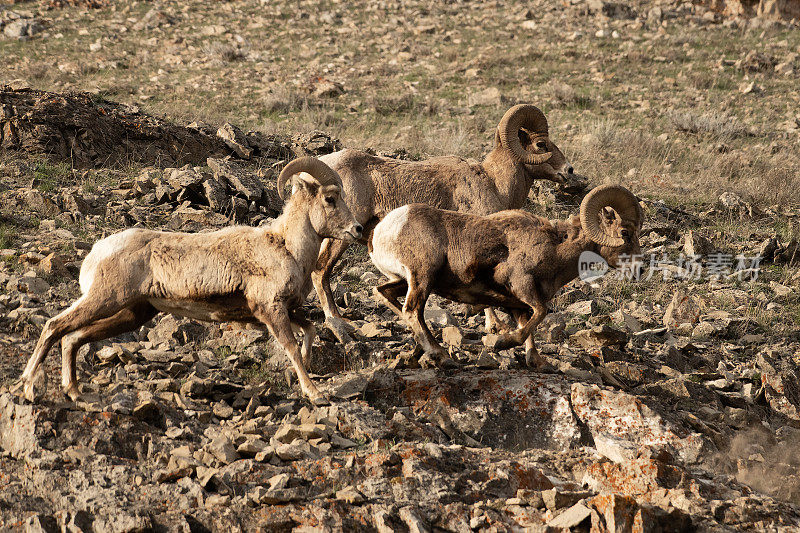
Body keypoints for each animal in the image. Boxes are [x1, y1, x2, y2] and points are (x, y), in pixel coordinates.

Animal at [16, 157, 362, 404]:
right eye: (331, 199)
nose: (358, 229)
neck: (286, 247)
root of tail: (96, 254)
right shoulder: (271, 310)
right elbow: (290, 346)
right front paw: (315, 393)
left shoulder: (287, 310)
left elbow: (311, 329)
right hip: (104, 299)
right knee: (54, 326)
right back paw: (30, 389)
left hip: (131, 314)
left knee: (72, 338)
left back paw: (73, 391)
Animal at [304, 105, 576, 340]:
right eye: (541, 144)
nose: (569, 170)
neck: (494, 182)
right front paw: (495, 326)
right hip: (341, 237)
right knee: (321, 271)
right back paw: (339, 322)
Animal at [368, 185, 644, 368]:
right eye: (625, 233)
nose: (639, 269)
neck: (555, 249)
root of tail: (383, 230)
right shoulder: (522, 286)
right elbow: (538, 315)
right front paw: (500, 342)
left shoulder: (517, 304)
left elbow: (528, 325)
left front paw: (537, 362)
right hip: (423, 277)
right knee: (412, 311)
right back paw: (441, 355)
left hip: (405, 281)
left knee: (385, 294)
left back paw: (419, 353)